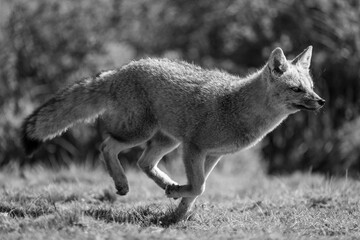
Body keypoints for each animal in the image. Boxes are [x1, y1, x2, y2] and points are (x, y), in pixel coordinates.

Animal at [23, 45, 326, 219]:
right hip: (140, 133)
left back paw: (168, 185)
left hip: (165, 141)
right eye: (296, 89)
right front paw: (179, 201)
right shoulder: (194, 148)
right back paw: (123, 183)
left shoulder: (212, 155)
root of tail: (120, 70)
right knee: (107, 146)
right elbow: (200, 186)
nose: (321, 101)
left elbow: (198, 189)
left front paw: (178, 214)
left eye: (310, 87)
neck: (236, 107)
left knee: (143, 162)